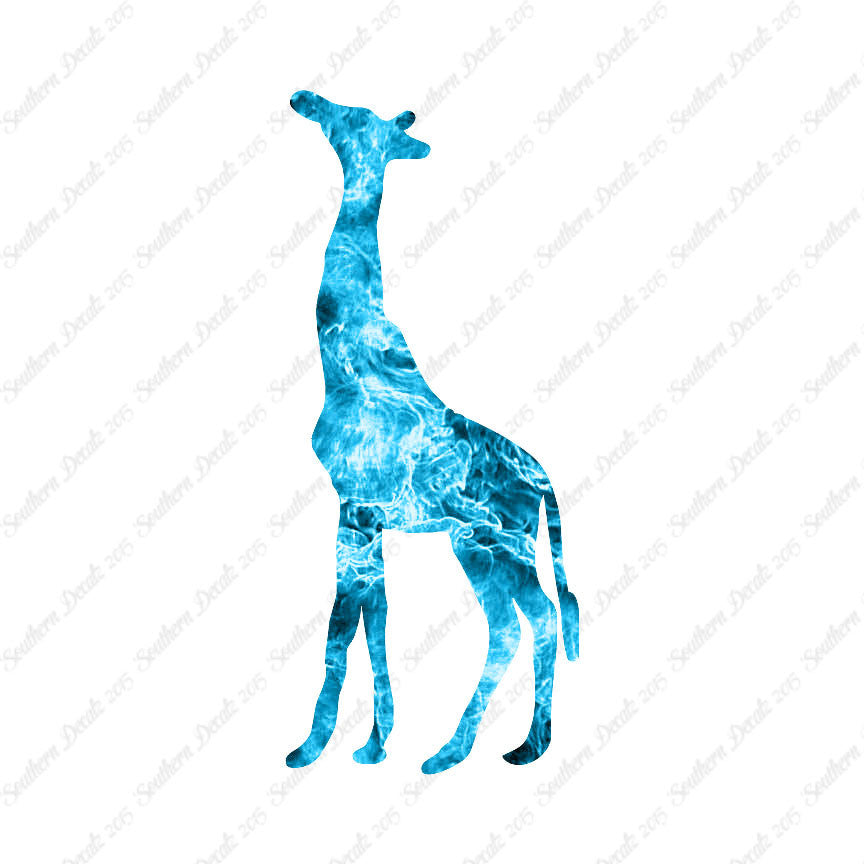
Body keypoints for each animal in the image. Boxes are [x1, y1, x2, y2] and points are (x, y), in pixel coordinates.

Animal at [285, 90, 579, 775]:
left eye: (351, 116)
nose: (302, 97)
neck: (344, 360)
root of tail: (544, 480)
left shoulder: (354, 506)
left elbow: (341, 625)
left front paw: (310, 749)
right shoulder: (366, 516)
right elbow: (375, 619)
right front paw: (373, 744)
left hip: (501, 542)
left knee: (541, 618)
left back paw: (518, 747)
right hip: (476, 545)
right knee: (513, 624)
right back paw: (467, 749)